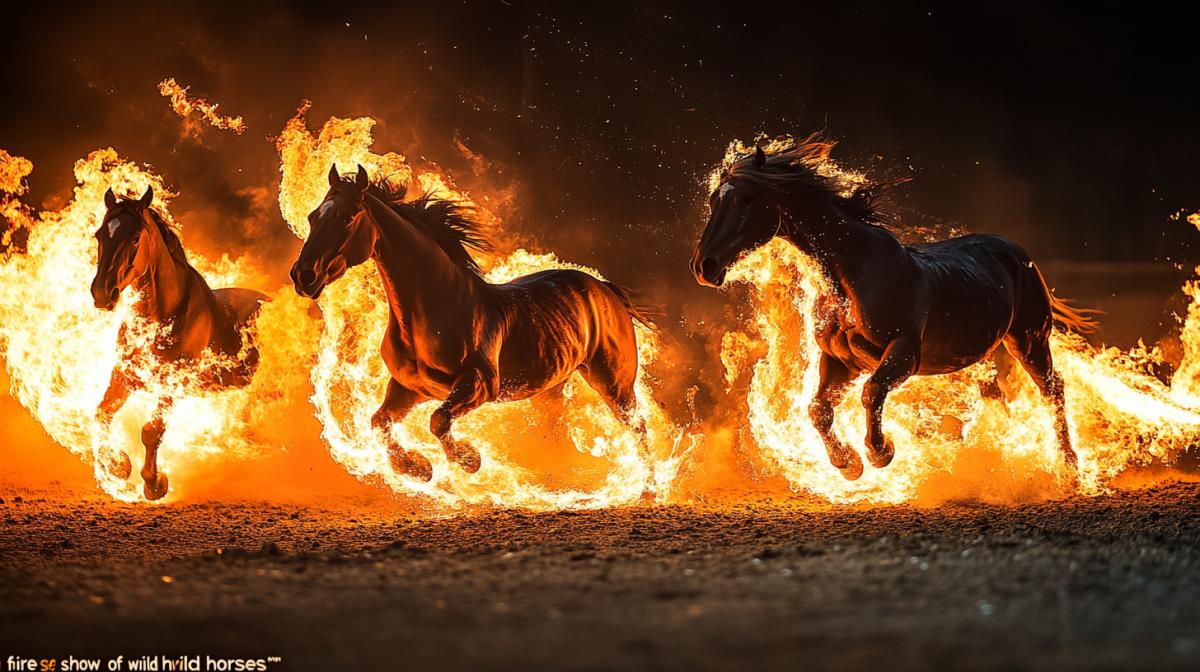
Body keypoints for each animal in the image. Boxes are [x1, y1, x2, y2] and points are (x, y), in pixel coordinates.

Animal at [91, 186, 267, 499]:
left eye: (135, 237)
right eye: (100, 235)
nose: (101, 293)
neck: (165, 311)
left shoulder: (172, 383)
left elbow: (151, 430)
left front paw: (154, 483)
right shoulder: (124, 376)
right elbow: (102, 414)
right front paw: (118, 466)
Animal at [289, 165, 652, 482]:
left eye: (347, 217)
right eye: (313, 216)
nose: (304, 276)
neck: (435, 310)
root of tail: (604, 288)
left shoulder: (479, 384)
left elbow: (438, 420)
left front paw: (468, 460)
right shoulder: (410, 389)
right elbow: (379, 421)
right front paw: (418, 469)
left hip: (615, 385)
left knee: (639, 428)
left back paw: (647, 487)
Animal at [691, 136, 1097, 481]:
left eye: (746, 198)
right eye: (713, 200)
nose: (703, 266)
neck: (851, 270)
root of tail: (1014, 250)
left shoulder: (903, 353)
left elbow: (872, 392)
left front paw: (880, 452)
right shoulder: (841, 360)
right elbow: (818, 409)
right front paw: (848, 464)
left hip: (1029, 340)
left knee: (1052, 390)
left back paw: (1069, 468)